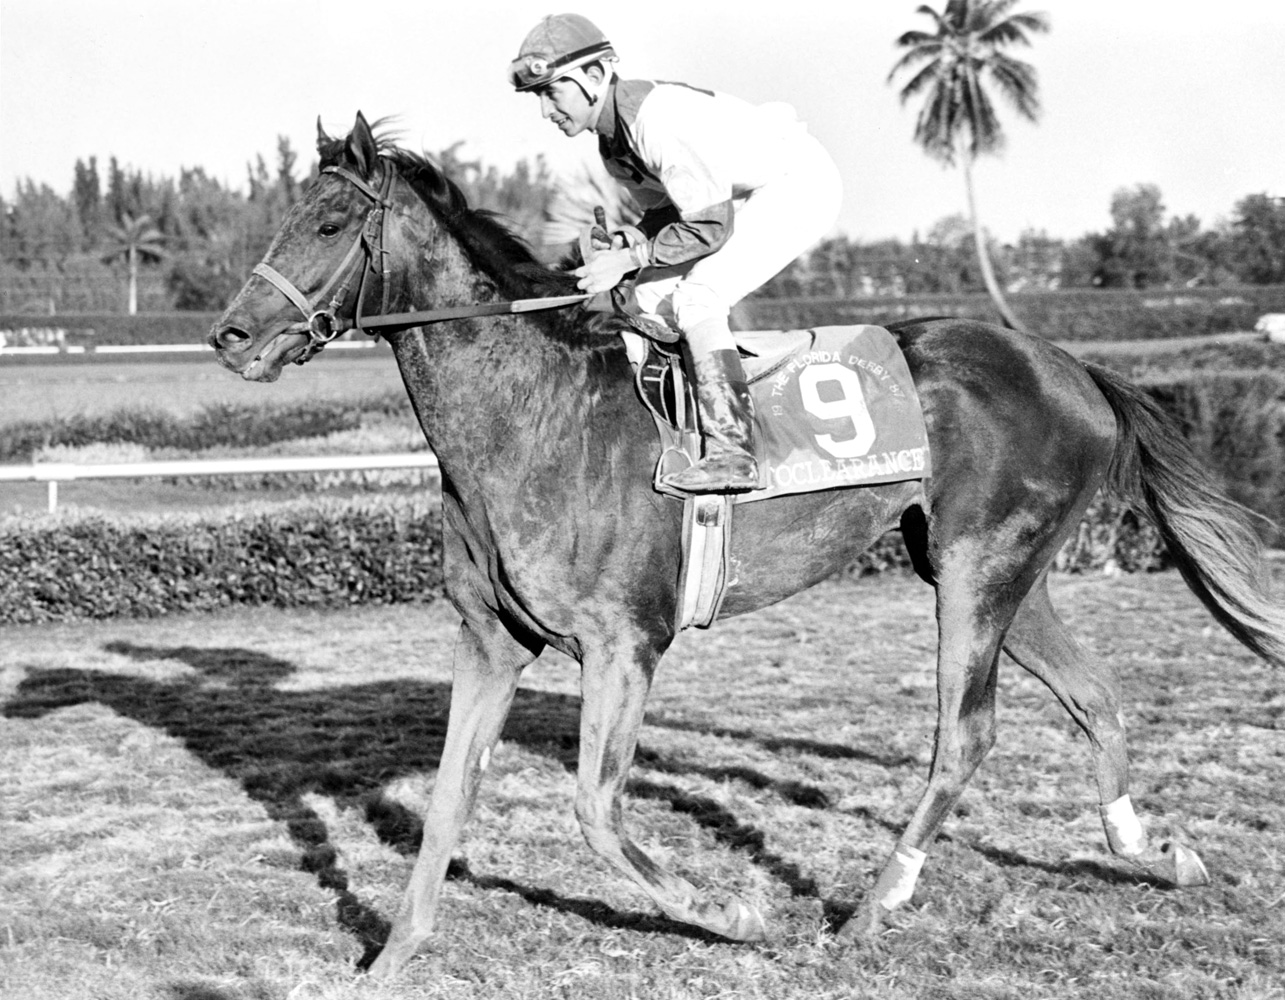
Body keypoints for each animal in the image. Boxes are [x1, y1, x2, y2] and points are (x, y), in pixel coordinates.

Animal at [210, 113, 1285, 976]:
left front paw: (732, 912)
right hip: (998, 571)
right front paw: (392, 955)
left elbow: (595, 809)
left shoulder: (624, 644)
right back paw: (1154, 853)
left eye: (327, 224)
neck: (533, 417)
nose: (230, 336)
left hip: (979, 569)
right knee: (1093, 697)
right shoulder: (489, 641)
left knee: (966, 734)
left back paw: (871, 907)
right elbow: (443, 802)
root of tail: (1070, 365)